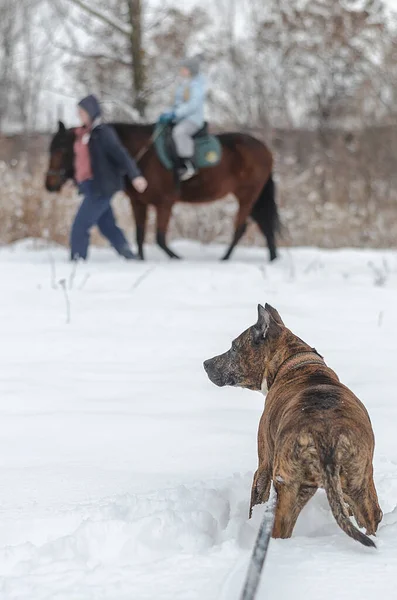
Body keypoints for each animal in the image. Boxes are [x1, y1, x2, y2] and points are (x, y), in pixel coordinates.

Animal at [44, 122, 278, 260]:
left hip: (247, 195)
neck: (141, 156)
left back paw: (225, 258)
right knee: (264, 226)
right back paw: (272, 257)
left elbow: (160, 238)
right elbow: (140, 235)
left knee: (242, 227)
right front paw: (140, 260)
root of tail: (265, 149)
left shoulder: (165, 203)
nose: (49, 183)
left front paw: (177, 258)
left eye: (63, 149)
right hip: (250, 196)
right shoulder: (138, 203)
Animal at [203, 308, 382, 548]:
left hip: (287, 490)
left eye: (233, 347)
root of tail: (325, 436)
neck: (297, 363)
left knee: (280, 529)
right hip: (359, 483)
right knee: (372, 515)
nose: (206, 363)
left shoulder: (264, 466)